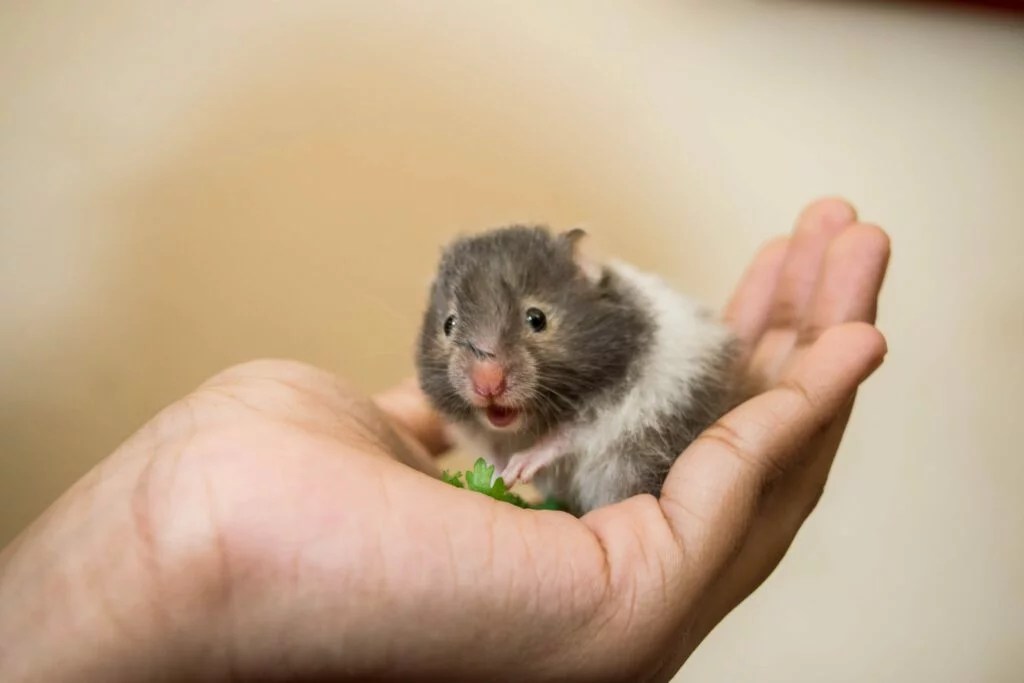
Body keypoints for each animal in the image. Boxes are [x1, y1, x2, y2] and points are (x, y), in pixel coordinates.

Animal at [416, 225, 741, 516]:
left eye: (537, 318)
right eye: (448, 324)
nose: (487, 385)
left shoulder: (611, 406)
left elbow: (565, 436)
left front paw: (519, 468)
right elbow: (492, 452)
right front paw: (498, 476)